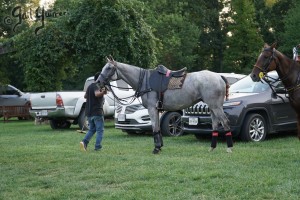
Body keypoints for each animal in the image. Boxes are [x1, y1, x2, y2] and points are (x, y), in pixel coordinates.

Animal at [97, 57, 233, 154]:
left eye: (109, 68)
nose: (98, 81)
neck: (145, 81)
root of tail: (219, 76)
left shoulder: (152, 109)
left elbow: (154, 128)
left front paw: (156, 148)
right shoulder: (157, 109)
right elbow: (157, 128)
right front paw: (160, 146)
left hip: (216, 106)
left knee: (225, 122)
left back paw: (229, 148)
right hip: (212, 107)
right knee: (215, 124)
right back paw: (212, 147)